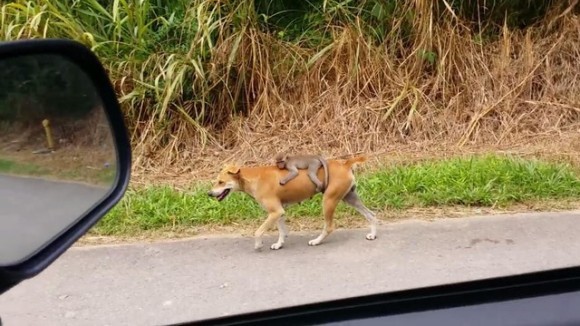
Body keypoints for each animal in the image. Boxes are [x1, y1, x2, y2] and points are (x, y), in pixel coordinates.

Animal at [206, 155, 378, 250]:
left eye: (221, 182)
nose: (209, 194)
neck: (252, 178)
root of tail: (345, 163)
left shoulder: (275, 212)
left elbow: (258, 231)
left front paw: (258, 245)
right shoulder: (278, 212)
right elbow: (282, 231)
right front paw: (279, 244)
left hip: (329, 200)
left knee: (329, 227)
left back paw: (316, 241)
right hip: (350, 197)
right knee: (371, 215)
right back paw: (373, 234)